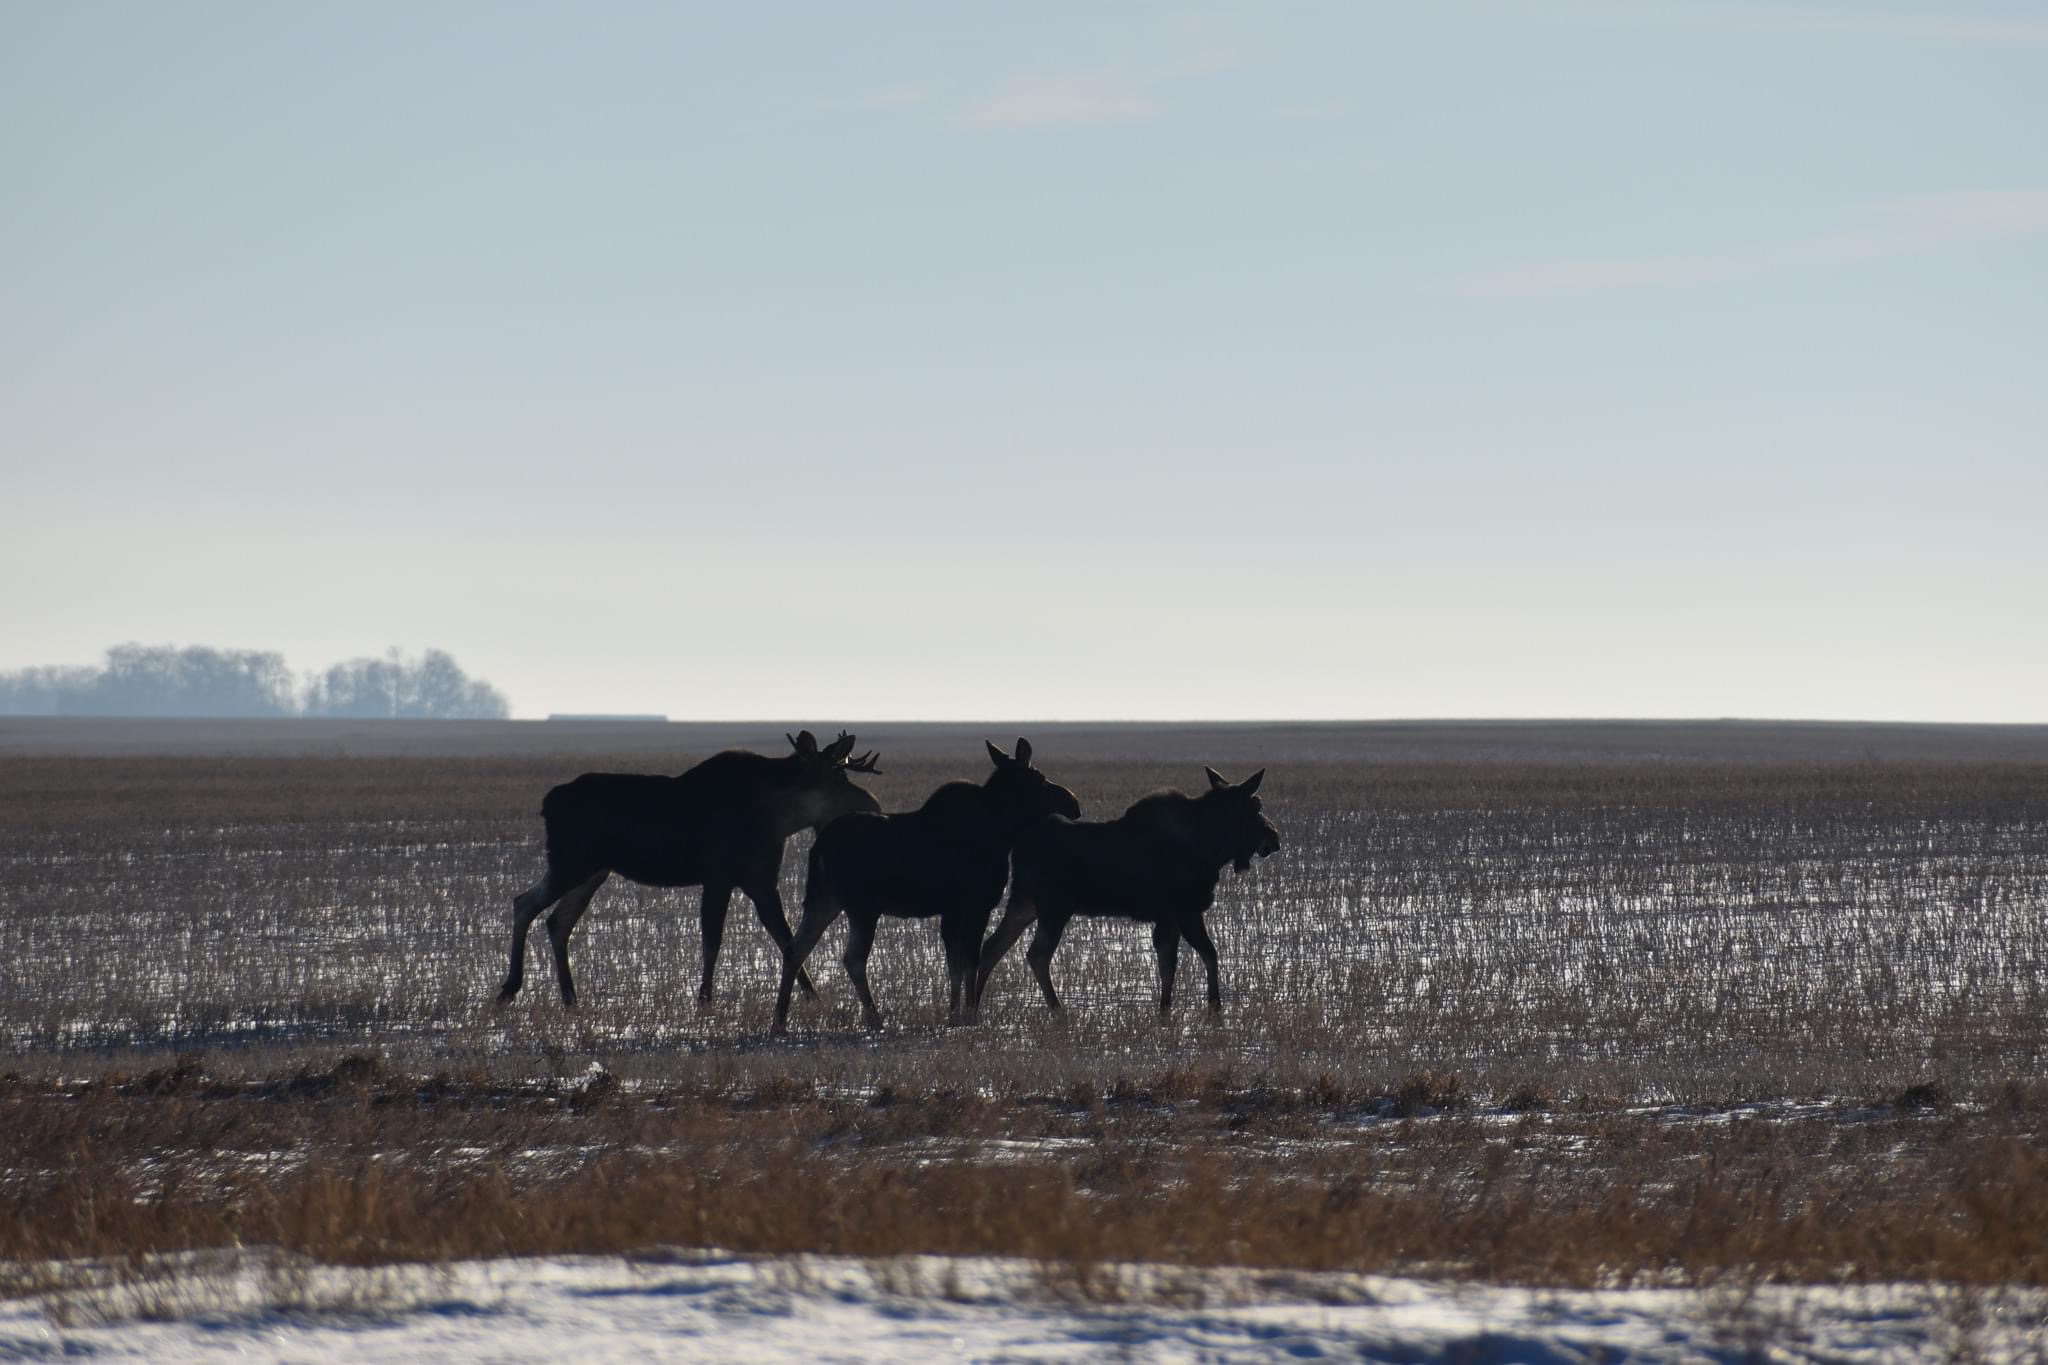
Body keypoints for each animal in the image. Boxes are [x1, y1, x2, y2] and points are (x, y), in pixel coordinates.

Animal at [499, 732, 884, 1010]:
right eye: (836, 776)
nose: (874, 803)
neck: (783, 819)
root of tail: (547, 803)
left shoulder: (761, 881)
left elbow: (785, 936)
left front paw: (812, 993)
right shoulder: (718, 877)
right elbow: (712, 940)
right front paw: (704, 998)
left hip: (593, 871)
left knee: (557, 921)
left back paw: (569, 996)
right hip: (570, 862)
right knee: (524, 903)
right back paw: (510, 988)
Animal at [770, 740, 1089, 1031]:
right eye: (1041, 778)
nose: (1074, 802)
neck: (1003, 831)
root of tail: (818, 849)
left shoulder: (951, 911)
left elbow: (954, 966)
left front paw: (953, 1014)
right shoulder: (977, 904)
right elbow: (971, 960)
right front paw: (971, 1015)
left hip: (823, 900)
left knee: (795, 949)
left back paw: (780, 1021)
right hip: (862, 906)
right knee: (853, 958)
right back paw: (875, 1019)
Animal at [974, 769, 1277, 1015]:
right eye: (1256, 807)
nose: (1274, 838)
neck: (1212, 848)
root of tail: (1018, 845)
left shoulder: (1167, 918)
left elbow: (1168, 967)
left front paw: (1165, 1010)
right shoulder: (1187, 910)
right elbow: (1210, 954)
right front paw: (1215, 1006)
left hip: (1024, 903)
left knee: (991, 947)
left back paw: (972, 1009)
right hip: (1054, 907)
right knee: (1036, 954)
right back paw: (1058, 1011)